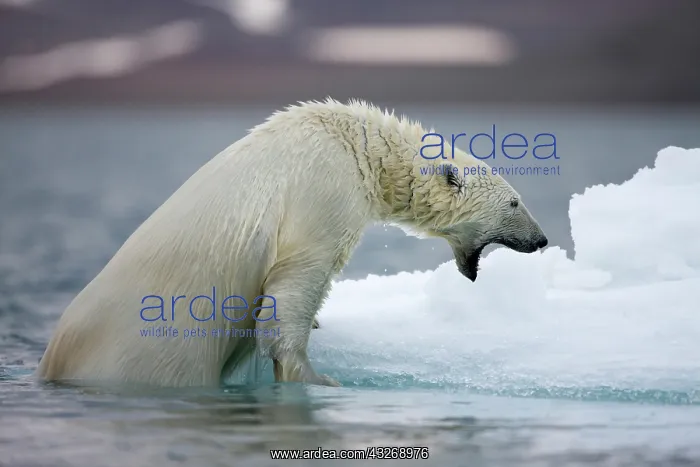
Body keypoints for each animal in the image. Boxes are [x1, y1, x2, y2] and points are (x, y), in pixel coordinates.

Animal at [36, 98, 548, 388]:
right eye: (515, 202)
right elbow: (301, 275)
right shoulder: (324, 188)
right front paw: (315, 375)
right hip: (147, 356)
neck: (359, 145)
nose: (541, 240)